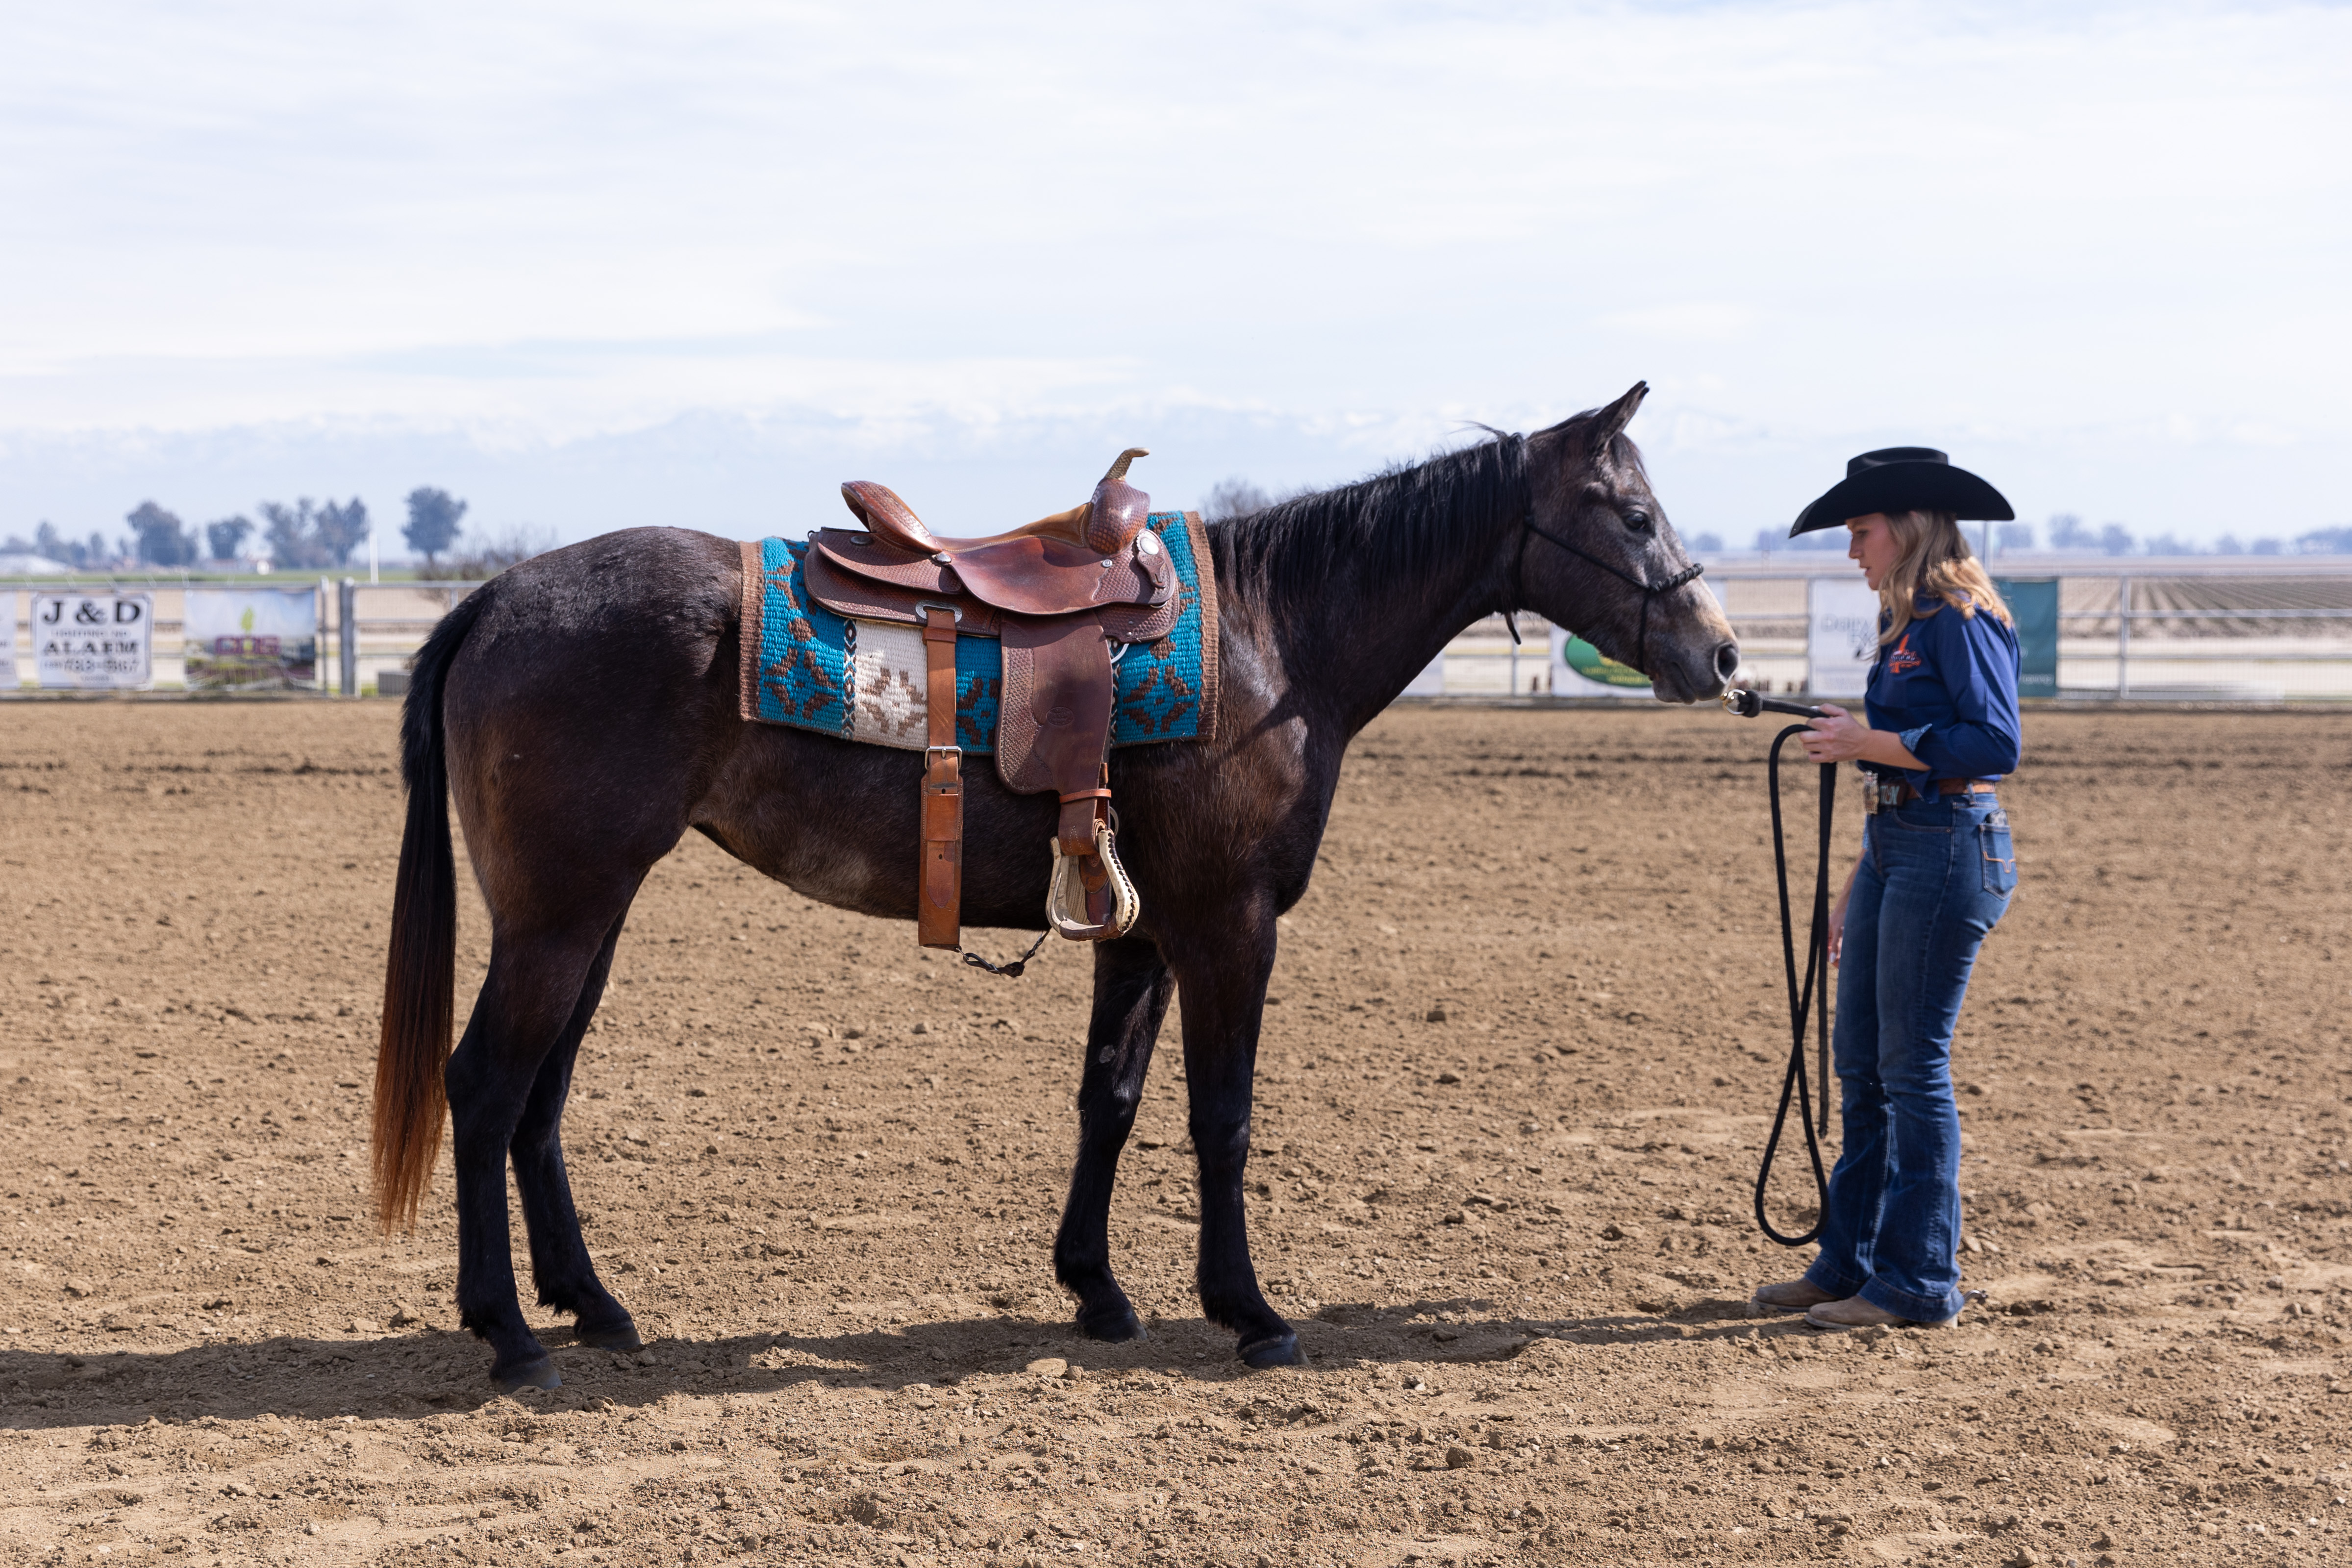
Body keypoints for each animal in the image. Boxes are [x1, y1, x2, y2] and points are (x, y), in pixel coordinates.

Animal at [370, 381, 1739, 1389]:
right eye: (1625, 511)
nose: (1721, 654)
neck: (1270, 640)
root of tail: (497, 596)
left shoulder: (1140, 933)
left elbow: (1109, 1103)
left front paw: (1096, 1288)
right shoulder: (1229, 928)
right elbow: (1221, 1118)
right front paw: (1249, 1311)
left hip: (584, 917)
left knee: (538, 1103)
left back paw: (592, 1306)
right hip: (560, 917)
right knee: (484, 1089)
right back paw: (510, 1336)